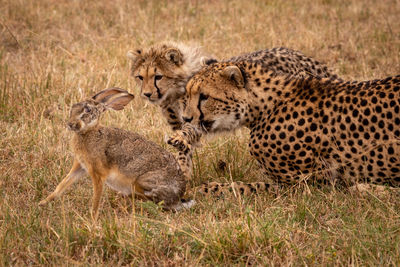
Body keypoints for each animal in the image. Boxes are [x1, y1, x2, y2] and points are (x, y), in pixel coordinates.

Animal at [172, 61, 400, 191]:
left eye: (205, 97)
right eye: (188, 94)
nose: (186, 118)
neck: (264, 106)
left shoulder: (309, 184)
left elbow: (246, 188)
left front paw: (204, 189)